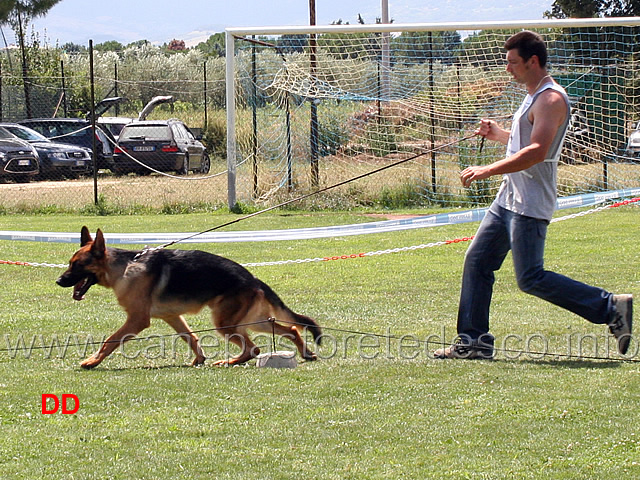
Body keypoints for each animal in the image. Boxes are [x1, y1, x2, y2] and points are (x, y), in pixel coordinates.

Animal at [57, 227, 322, 370]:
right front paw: (199, 358)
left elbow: (111, 340)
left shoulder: (137, 320)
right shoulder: (172, 317)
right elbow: (190, 337)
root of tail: (253, 278)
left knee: (254, 347)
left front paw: (92, 361)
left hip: (226, 323)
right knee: (290, 330)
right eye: (70, 263)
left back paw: (229, 362)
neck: (123, 267)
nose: (59, 281)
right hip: (250, 320)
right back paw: (305, 353)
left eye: (78, 265)